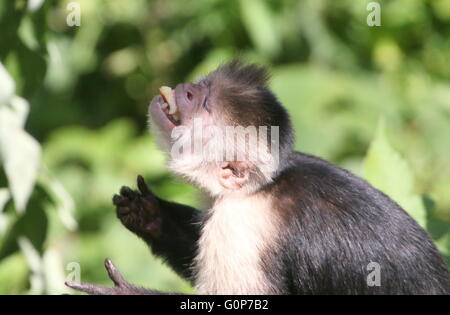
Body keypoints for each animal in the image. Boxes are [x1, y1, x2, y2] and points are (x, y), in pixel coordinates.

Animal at [67, 60, 450, 296]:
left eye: (204, 103)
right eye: (201, 87)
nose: (187, 88)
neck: (260, 189)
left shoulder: (240, 227)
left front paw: (121, 292)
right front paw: (151, 215)